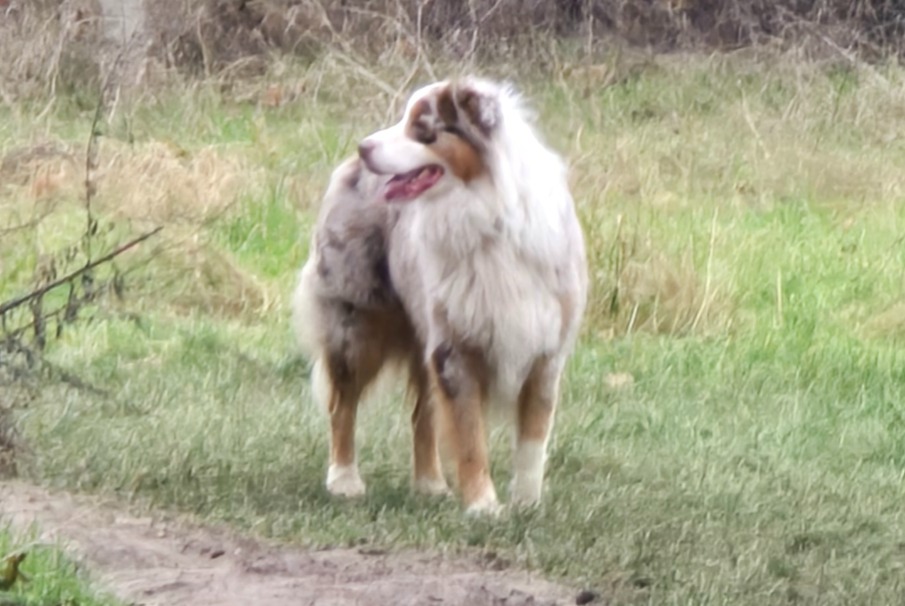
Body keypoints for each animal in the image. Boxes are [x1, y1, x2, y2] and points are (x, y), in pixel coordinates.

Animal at [292, 75, 588, 512]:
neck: (487, 217)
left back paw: (430, 482)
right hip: (356, 324)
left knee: (423, 414)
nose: (364, 147)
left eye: (421, 128)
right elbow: (470, 437)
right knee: (342, 404)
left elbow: (533, 440)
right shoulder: (456, 347)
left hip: (422, 334)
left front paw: (527, 505)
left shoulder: (544, 349)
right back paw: (344, 479)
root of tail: (348, 170)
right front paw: (483, 506)